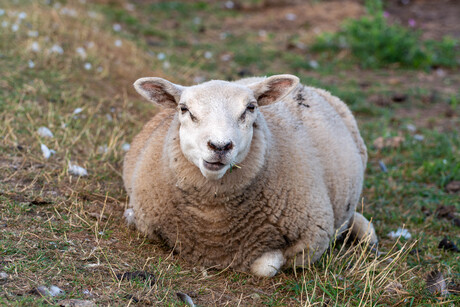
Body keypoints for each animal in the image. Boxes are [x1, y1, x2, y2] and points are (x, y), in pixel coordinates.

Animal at [123, 74, 378, 280]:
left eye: (251, 108)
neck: (213, 224)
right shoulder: (146, 218)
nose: (220, 146)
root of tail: (311, 87)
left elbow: (266, 266)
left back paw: (368, 237)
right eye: (184, 109)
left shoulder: (314, 239)